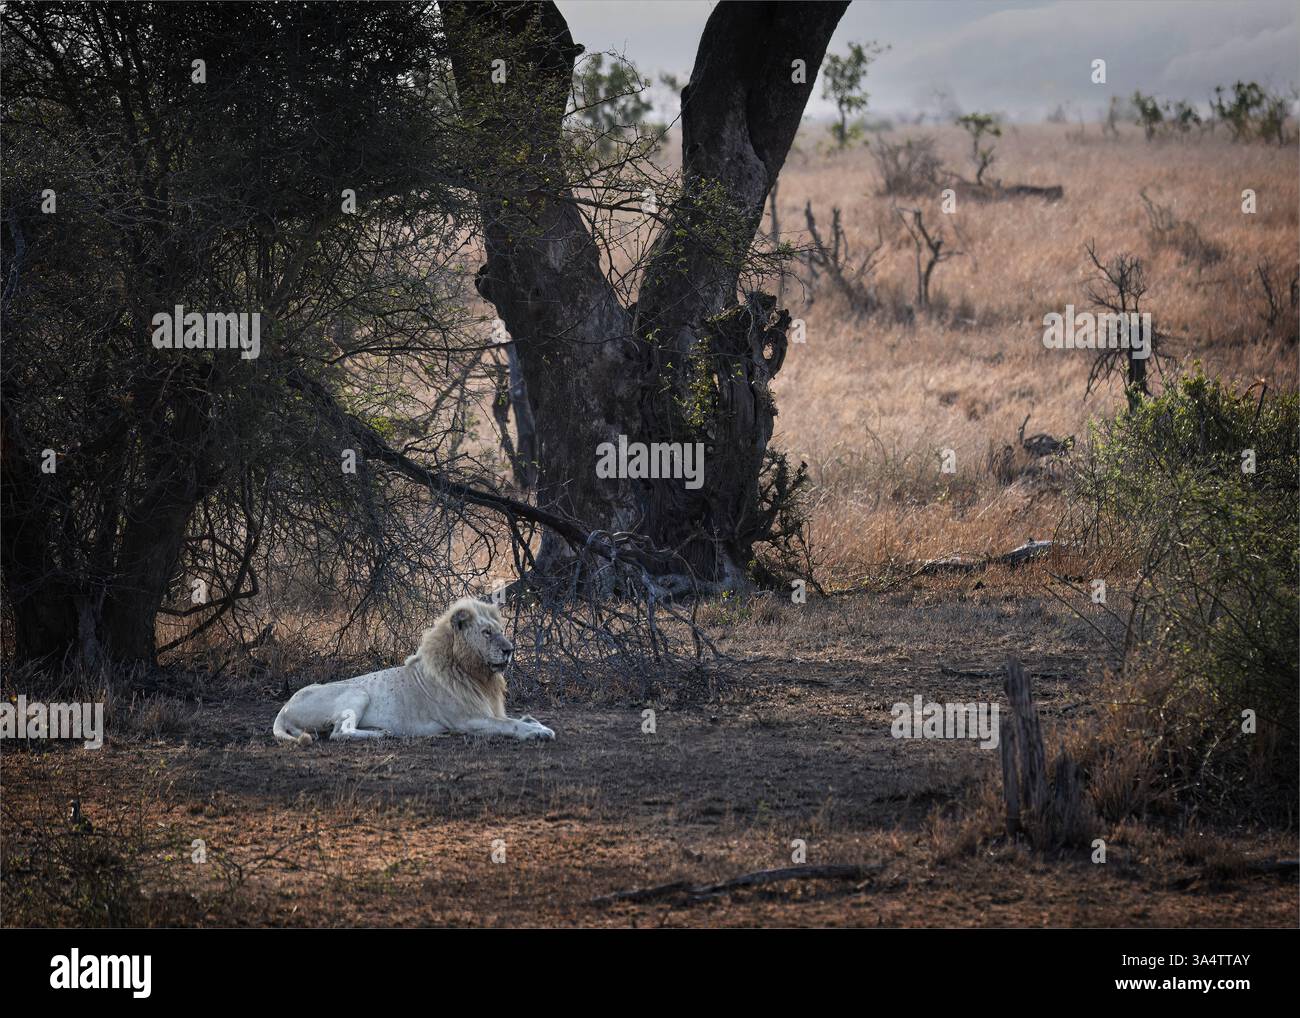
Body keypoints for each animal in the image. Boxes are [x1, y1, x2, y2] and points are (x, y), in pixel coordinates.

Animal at [272, 597, 554, 744]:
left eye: (500, 630)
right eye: (486, 633)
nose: (510, 649)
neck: (477, 675)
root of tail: (284, 709)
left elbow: (521, 717)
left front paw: (537, 723)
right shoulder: (468, 721)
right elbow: (510, 724)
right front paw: (537, 732)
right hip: (358, 692)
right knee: (339, 732)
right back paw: (382, 733)